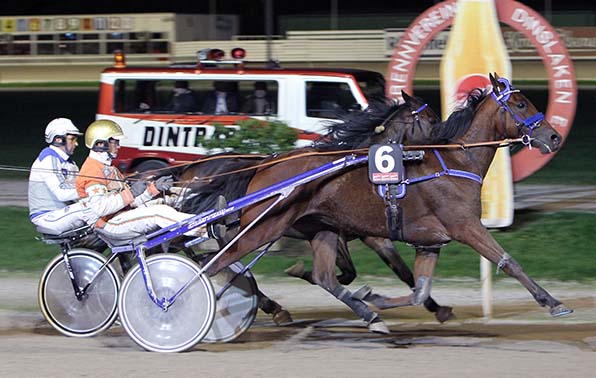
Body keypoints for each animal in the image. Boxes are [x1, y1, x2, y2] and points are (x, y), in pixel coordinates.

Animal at [198, 73, 572, 328]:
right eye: (521, 104)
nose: (554, 137)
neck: (454, 162)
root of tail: (263, 166)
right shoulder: (464, 226)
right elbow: (509, 262)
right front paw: (553, 302)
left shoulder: (428, 242)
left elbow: (416, 287)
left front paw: (379, 298)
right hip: (261, 229)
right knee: (218, 263)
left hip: (319, 229)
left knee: (323, 276)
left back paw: (363, 313)